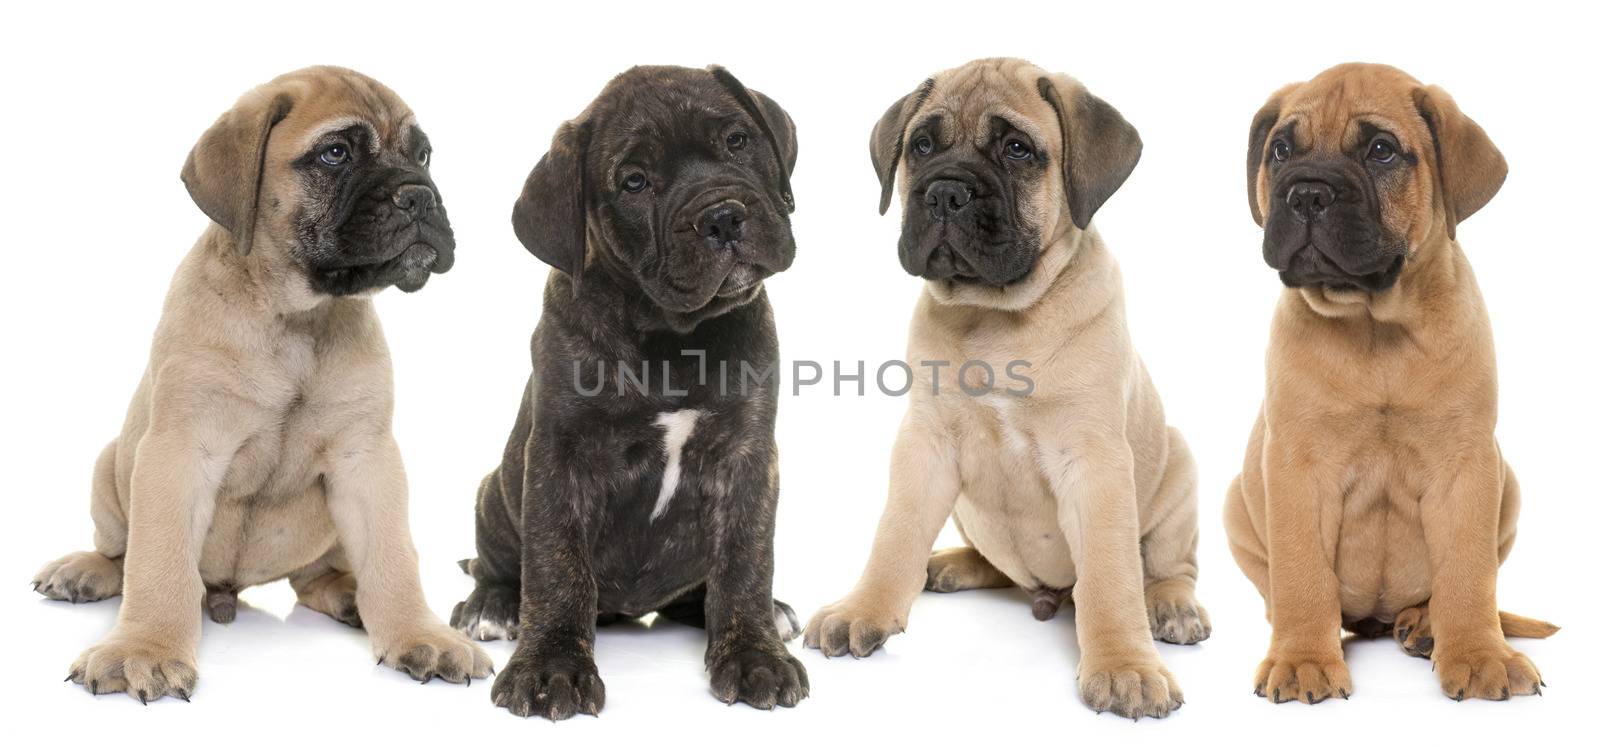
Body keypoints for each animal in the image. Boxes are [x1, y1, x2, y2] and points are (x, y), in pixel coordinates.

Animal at [31, 67, 489, 703]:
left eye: (422, 155)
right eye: (335, 153)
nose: (421, 195)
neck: (297, 317)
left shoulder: (367, 460)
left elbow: (393, 557)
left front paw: (418, 632)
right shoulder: (179, 451)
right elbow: (159, 565)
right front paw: (143, 649)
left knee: (315, 577)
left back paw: (349, 594)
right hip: (109, 467)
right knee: (121, 555)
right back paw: (84, 570)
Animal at [448, 67, 800, 723]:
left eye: (738, 140)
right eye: (634, 182)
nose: (722, 216)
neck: (671, 334)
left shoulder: (748, 456)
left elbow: (745, 560)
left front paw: (753, 653)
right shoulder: (559, 456)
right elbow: (557, 568)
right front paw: (550, 668)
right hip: (494, 492)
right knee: (496, 566)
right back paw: (492, 606)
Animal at [806, 55, 1203, 723]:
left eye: (1017, 149)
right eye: (921, 146)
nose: (944, 192)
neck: (992, 316)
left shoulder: (1094, 463)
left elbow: (1110, 575)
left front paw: (1125, 664)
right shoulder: (925, 444)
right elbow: (895, 535)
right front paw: (865, 607)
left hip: (1179, 470)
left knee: (1169, 565)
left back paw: (1172, 604)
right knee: (997, 566)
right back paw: (949, 565)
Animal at [1222, 64, 1561, 707]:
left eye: (1380, 150)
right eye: (1280, 151)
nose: (1306, 193)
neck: (1375, 329)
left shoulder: (1468, 465)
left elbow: (1468, 574)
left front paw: (1479, 654)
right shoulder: (1297, 468)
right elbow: (1302, 573)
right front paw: (1303, 660)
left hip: (1507, 484)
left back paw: (1424, 625)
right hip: (1238, 504)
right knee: (1288, 595)